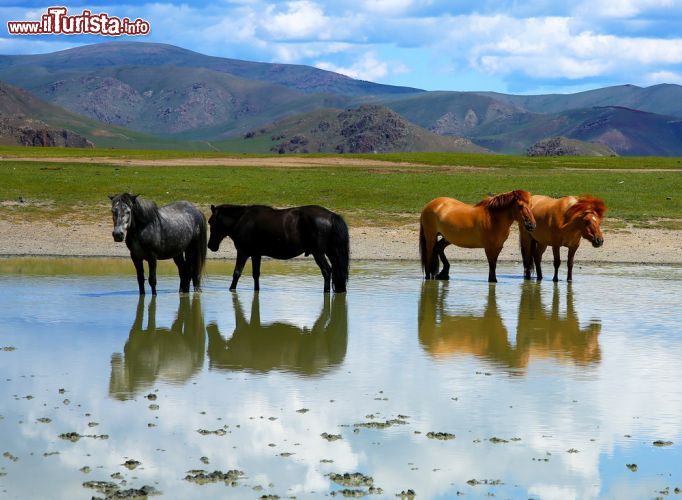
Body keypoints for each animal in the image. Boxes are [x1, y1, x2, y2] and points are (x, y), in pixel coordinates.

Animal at [207, 204, 348, 292]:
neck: (242, 220)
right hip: (331, 252)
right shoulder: (256, 254)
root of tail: (331, 216)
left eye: (211, 222)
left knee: (327, 271)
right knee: (337, 271)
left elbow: (236, 273)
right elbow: (256, 275)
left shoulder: (243, 252)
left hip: (318, 253)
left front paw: (231, 289)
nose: (210, 245)